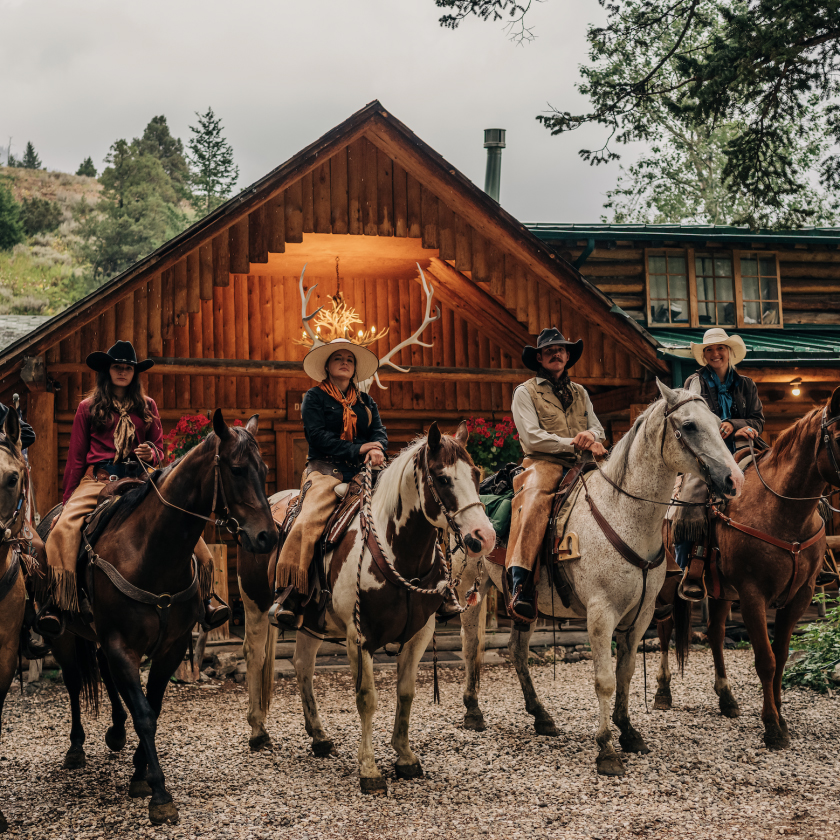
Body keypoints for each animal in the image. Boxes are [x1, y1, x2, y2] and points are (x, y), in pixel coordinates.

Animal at [35, 410, 276, 824]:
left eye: (262, 470)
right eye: (237, 469)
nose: (268, 537)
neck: (152, 552)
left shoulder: (170, 647)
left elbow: (154, 707)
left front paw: (139, 772)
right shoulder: (122, 645)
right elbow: (144, 713)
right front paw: (159, 792)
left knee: (103, 674)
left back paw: (115, 733)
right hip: (64, 636)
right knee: (73, 682)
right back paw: (76, 747)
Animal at [236, 424, 496, 792]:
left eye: (475, 474)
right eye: (443, 478)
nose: (484, 536)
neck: (396, 551)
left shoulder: (420, 633)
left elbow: (406, 693)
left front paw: (405, 756)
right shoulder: (359, 638)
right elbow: (367, 699)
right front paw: (369, 769)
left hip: (310, 620)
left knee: (302, 664)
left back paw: (319, 737)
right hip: (255, 606)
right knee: (255, 655)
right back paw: (258, 731)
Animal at [452, 378, 740, 776]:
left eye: (717, 422)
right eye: (690, 425)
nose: (733, 479)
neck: (623, 513)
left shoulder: (641, 616)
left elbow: (625, 674)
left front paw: (629, 732)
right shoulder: (601, 614)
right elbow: (604, 681)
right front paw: (606, 749)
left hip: (523, 603)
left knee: (517, 651)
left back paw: (541, 716)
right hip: (470, 590)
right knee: (470, 647)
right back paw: (473, 712)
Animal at [656, 388, 840, 748]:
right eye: (839, 436)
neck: (781, 510)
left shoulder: (799, 596)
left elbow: (781, 655)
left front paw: (781, 716)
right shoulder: (754, 595)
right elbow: (765, 660)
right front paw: (772, 727)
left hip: (720, 590)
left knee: (714, 634)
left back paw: (727, 699)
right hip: (667, 583)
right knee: (664, 629)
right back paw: (663, 693)